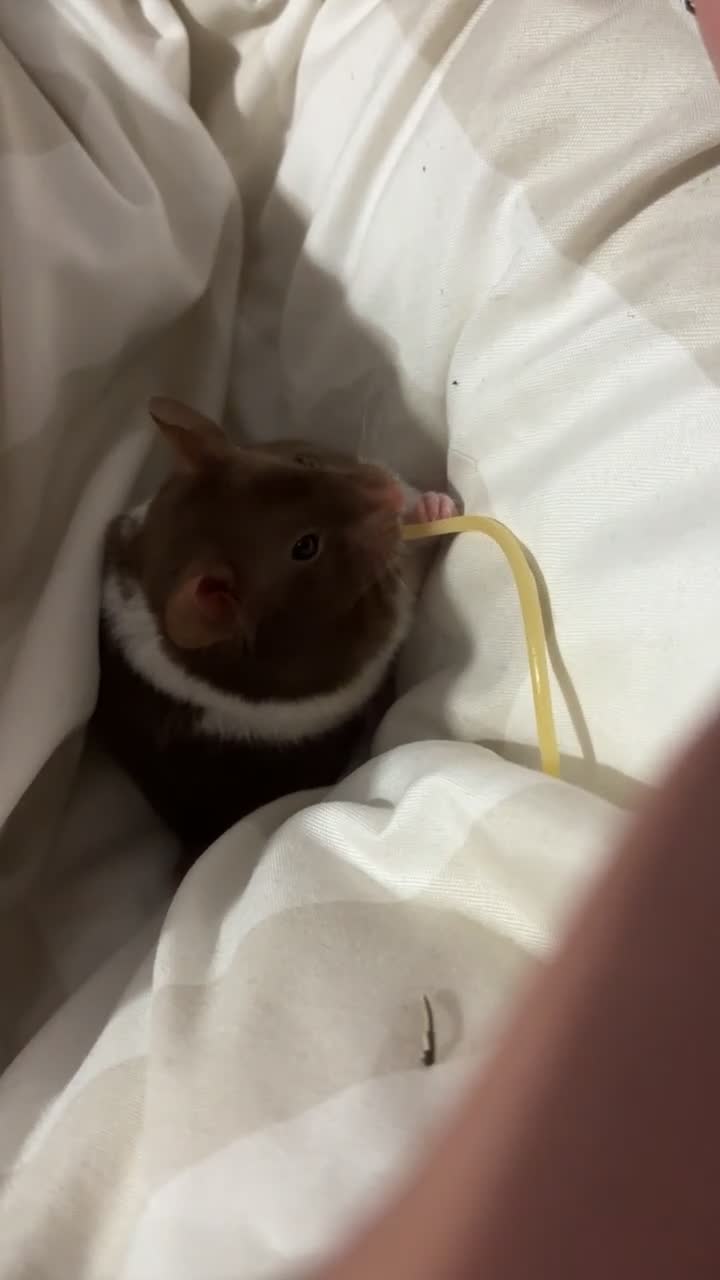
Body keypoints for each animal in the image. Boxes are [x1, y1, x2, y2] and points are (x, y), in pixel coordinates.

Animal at [94, 397, 456, 862]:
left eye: (305, 461)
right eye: (305, 547)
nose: (390, 495)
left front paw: (429, 505)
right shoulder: (370, 641)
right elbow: (404, 582)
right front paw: (429, 514)